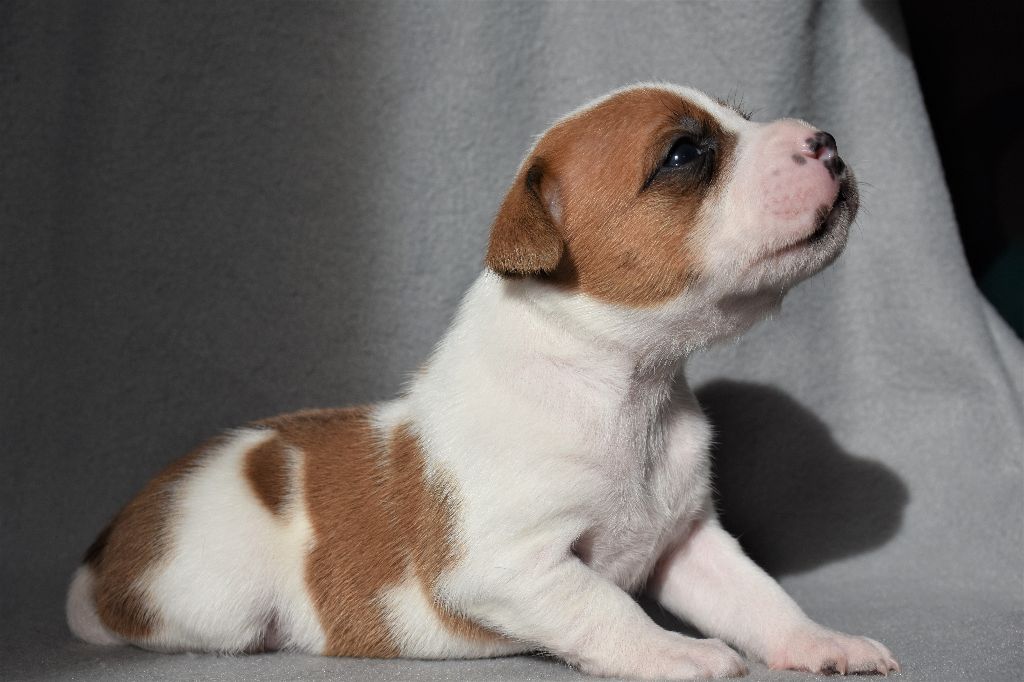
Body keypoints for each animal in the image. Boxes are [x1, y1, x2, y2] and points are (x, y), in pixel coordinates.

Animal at [67, 83, 899, 679]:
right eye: (685, 153)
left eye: (743, 119)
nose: (825, 140)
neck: (629, 389)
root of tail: (105, 548)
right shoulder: (510, 567)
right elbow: (606, 608)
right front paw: (677, 652)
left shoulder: (690, 544)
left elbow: (760, 597)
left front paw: (820, 640)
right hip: (220, 601)